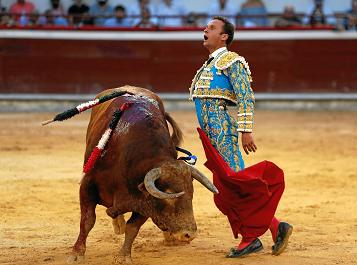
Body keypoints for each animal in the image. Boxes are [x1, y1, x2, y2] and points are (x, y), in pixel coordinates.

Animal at [67, 86, 217, 262]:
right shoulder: (87, 186)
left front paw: (124, 257)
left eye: (191, 194)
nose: (189, 235)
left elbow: (133, 227)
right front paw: (77, 254)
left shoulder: (144, 201)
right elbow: (87, 220)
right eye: (169, 195)